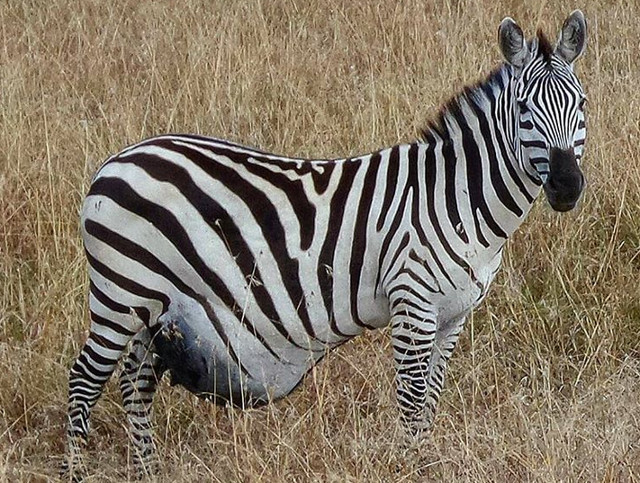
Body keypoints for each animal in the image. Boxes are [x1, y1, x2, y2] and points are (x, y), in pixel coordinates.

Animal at [64, 11, 587, 478]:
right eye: (524, 111)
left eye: (580, 104)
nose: (566, 187)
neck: (456, 197)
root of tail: (116, 161)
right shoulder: (412, 303)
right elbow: (412, 400)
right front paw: (412, 467)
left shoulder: (453, 315)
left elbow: (432, 398)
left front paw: (425, 460)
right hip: (120, 294)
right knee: (84, 381)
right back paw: (75, 470)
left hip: (152, 303)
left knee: (136, 381)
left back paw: (146, 471)